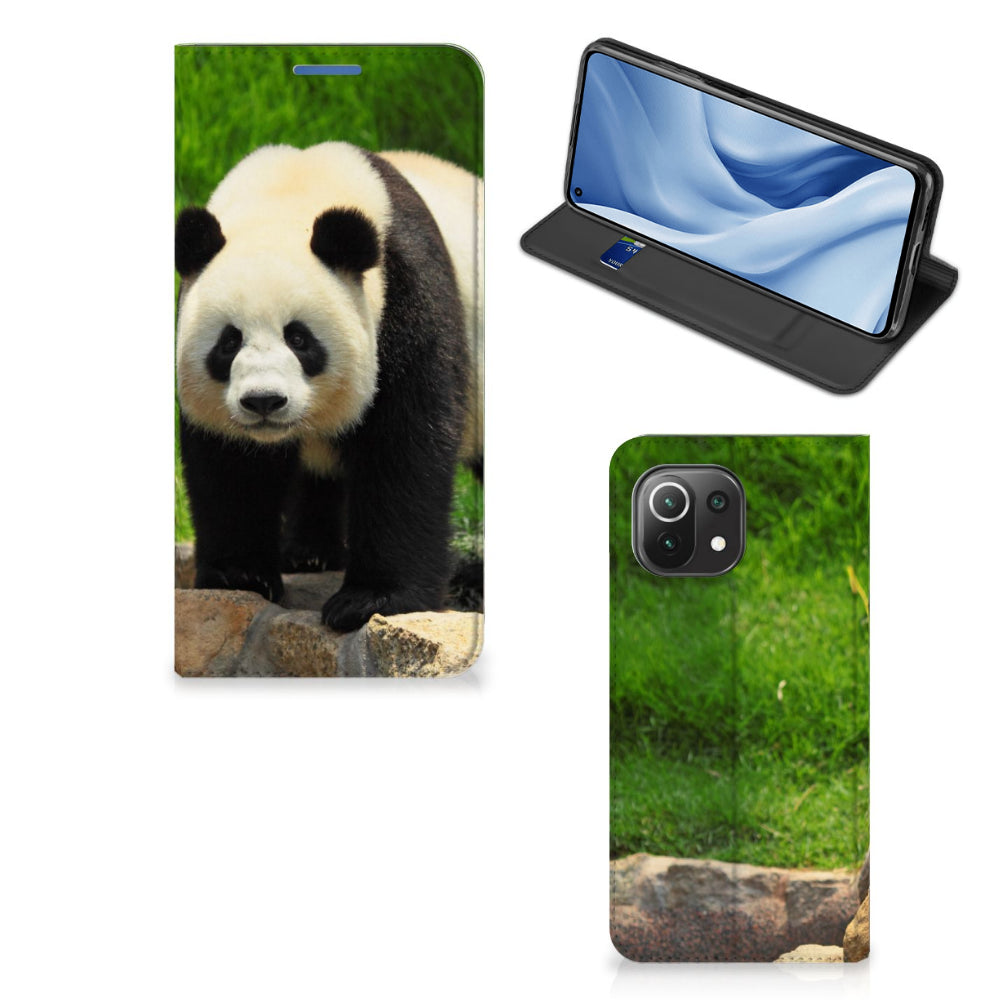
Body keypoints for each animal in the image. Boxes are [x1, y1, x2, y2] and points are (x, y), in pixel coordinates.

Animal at [175, 142, 483, 632]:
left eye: (299, 338)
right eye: (229, 342)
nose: (264, 401)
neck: (290, 192)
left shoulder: (406, 298)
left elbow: (405, 447)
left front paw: (371, 599)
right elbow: (231, 465)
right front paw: (239, 575)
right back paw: (309, 553)